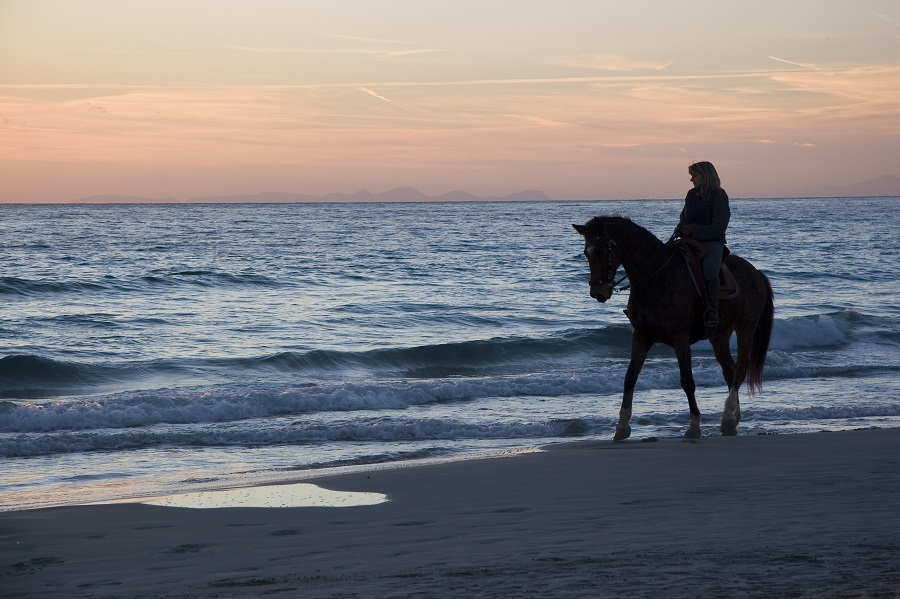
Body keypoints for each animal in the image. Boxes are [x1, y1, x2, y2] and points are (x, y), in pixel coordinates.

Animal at [576, 217, 772, 440]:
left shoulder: (680, 338)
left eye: (601, 251)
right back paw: (731, 418)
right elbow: (630, 377)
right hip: (719, 336)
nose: (597, 292)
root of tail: (755, 272)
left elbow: (687, 380)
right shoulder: (641, 336)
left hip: (746, 327)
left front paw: (694, 426)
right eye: (586, 252)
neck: (656, 276)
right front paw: (622, 427)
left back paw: (728, 416)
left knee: (740, 367)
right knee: (729, 370)